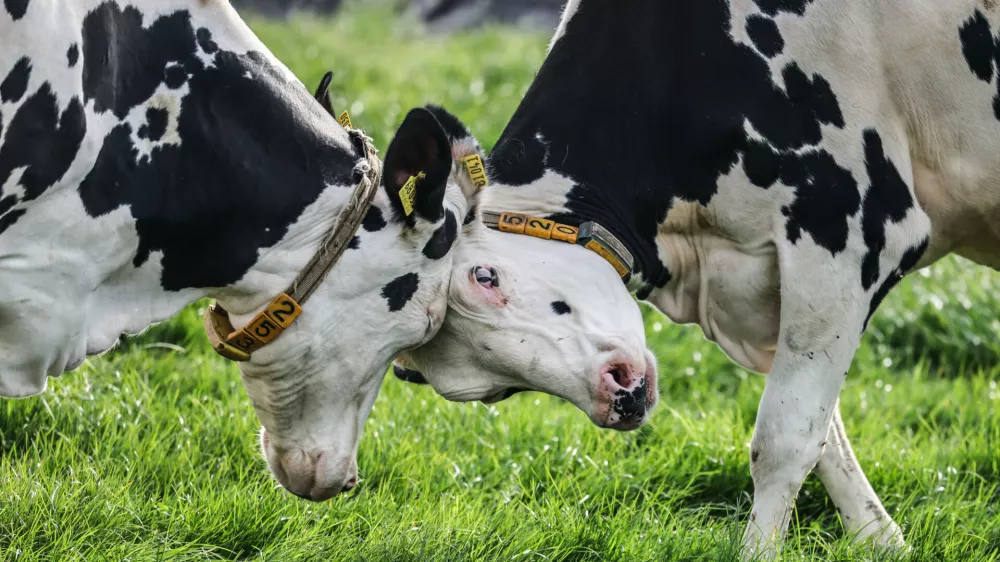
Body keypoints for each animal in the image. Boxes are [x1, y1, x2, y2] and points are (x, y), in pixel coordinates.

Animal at [394, 0, 1000, 558]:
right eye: (486, 391)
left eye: (485, 276)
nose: (619, 397)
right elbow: (826, 434)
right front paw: (883, 542)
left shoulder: (845, 227)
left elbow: (784, 438)